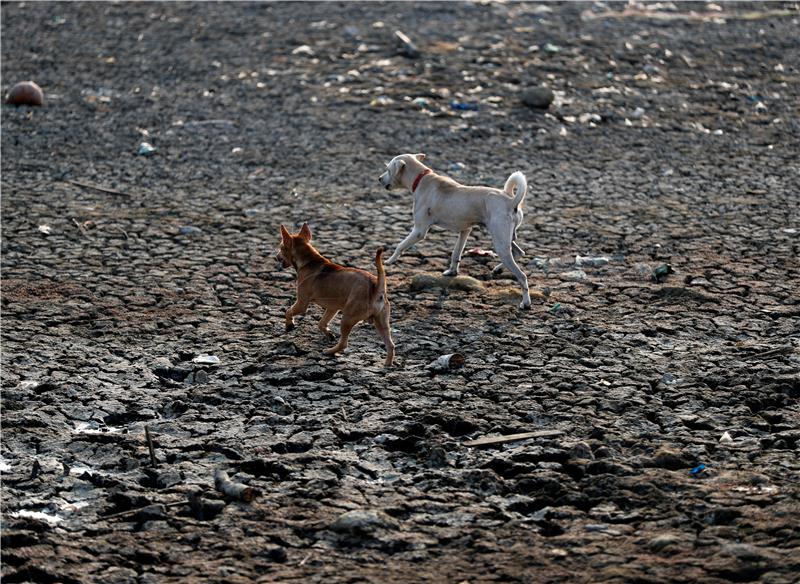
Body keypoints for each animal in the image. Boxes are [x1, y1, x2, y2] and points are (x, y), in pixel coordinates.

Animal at [276, 222, 396, 364]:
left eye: (281, 247)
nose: (276, 256)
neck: (309, 261)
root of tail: (376, 286)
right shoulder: (332, 308)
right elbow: (321, 323)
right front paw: (329, 334)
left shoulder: (301, 303)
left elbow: (288, 311)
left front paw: (289, 325)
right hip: (381, 323)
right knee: (391, 345)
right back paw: (387, 365)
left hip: (347, 318)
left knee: (344, 343)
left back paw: (329, 352)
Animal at [380, 155, 532, 310]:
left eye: (388, 169)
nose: (379, 179)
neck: (421, 179)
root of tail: (512, 202)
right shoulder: (465, 230)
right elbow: (456, 253)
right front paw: (452, 272)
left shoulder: (419, 231)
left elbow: (400, 245)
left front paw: (389, 260)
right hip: (507, 238)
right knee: (519, 253)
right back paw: (498, 269)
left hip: (500, 242)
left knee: (522, 276)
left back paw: (525, 303)